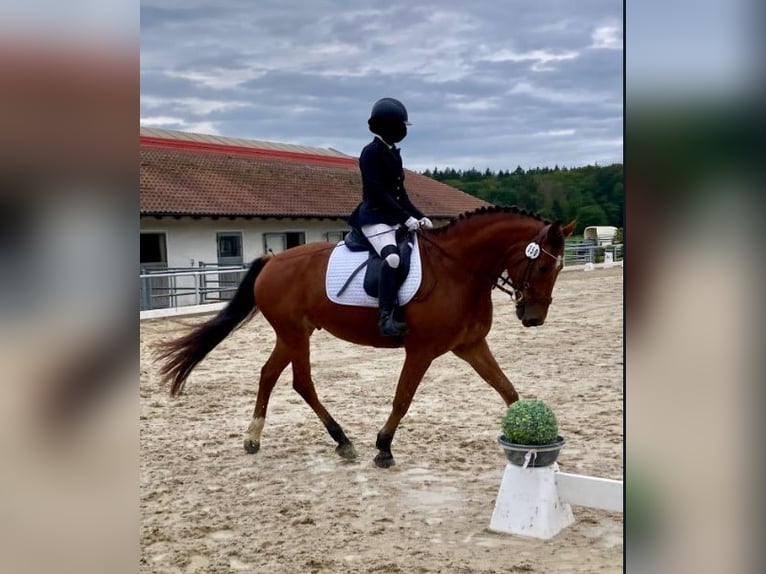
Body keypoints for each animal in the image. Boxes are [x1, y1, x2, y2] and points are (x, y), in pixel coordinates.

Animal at [158, 207, 576, 468]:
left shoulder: (470, 346)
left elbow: (509, 391)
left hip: (293, 334)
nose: (534, 318)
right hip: (294, 334)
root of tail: (273, 259)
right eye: (541, 266)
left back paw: (257, 438)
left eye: (558, 268)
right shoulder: (421, 350)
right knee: (300, 381)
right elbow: (403, 399)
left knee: (270, 374)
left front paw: (532, 443)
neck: (460, 270)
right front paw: (384, 447)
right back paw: (340, 440)